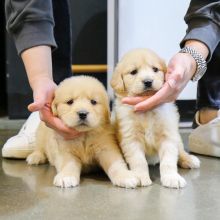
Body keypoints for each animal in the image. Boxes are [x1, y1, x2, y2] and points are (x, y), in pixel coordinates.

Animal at [111, 49, 200, 188]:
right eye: (133, 72)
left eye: (155, 69)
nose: (148, 81)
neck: (147, 112)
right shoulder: (131, 138)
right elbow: (139, 161)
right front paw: (140, 177)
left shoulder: (168, 136)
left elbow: (168, 161)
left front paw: (172, 178)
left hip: (176, 136)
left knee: (180, 150)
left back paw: (189, 159)